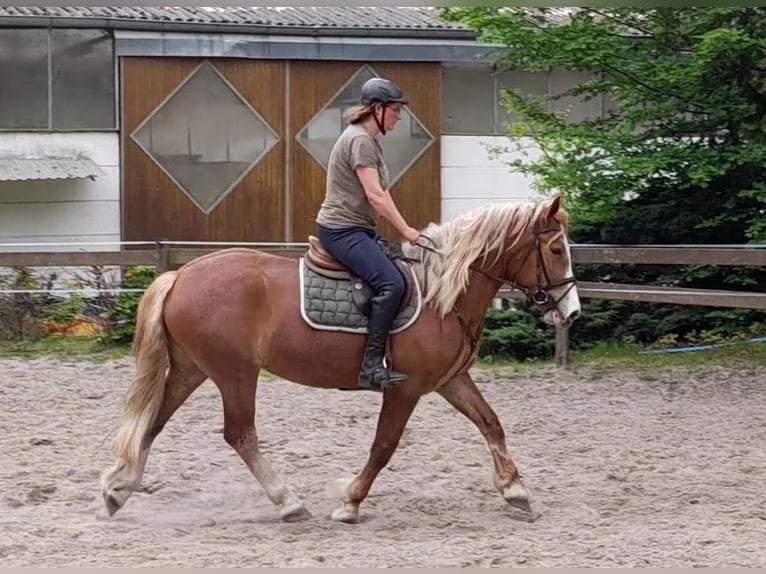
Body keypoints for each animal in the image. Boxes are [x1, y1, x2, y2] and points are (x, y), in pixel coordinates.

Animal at [102, 195, 584, 528]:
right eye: (556, 250)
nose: (572, 311)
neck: (439, 296)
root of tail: (181, 273)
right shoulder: (405, 388)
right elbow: (384, 446)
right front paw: (350, 503)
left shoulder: (452, 380)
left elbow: (491, 423)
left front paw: (515, 491)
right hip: (234, 373)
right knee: (239, 434)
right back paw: (289, 502)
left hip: (192, 369)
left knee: (153, 422)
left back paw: (118, 489)